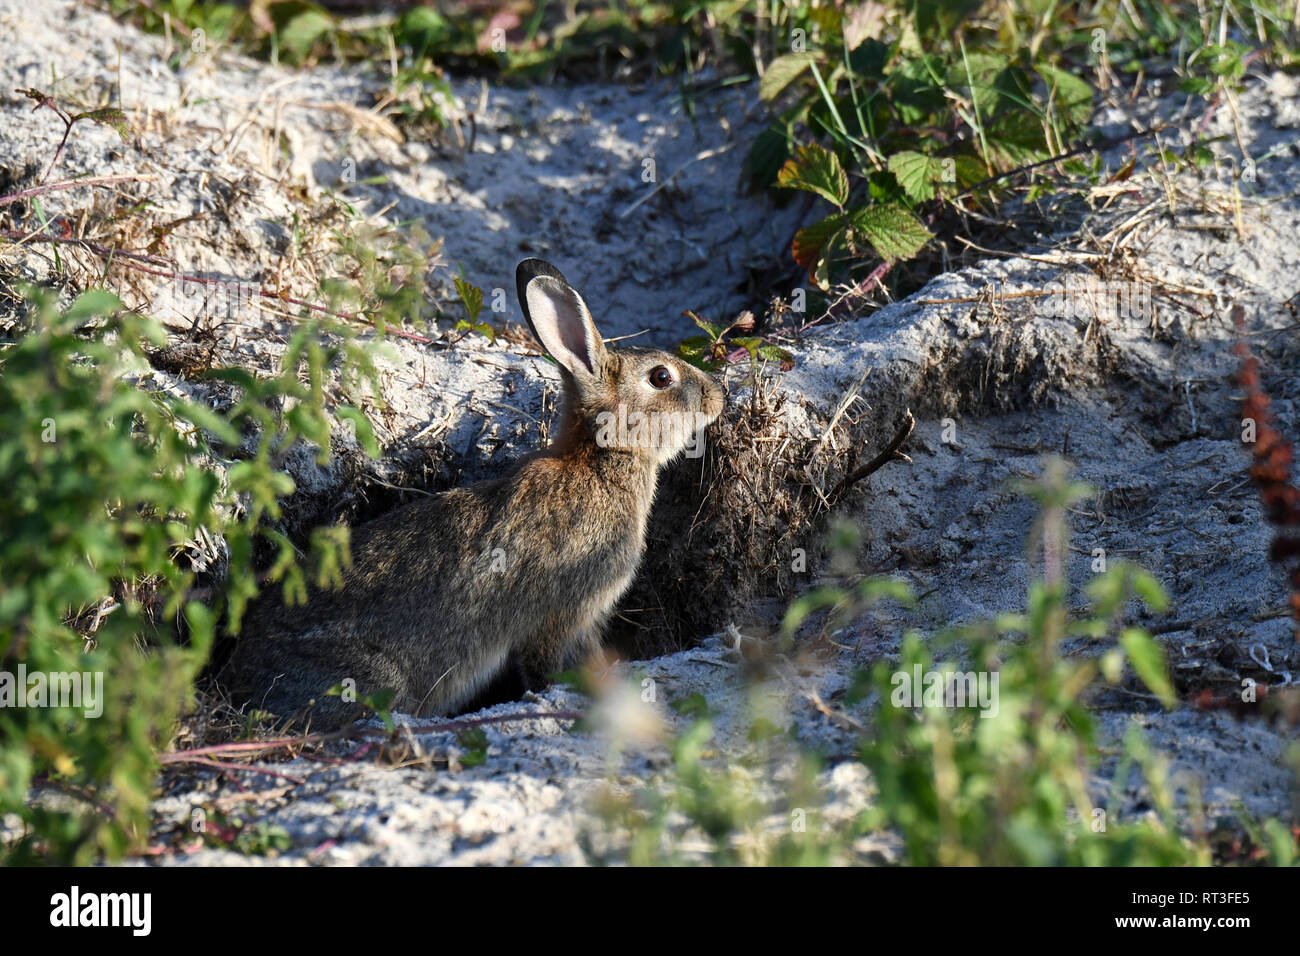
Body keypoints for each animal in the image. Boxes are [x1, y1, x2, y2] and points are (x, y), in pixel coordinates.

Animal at [221, 258, 726, 729]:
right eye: (661, 377)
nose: (717, 394)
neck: (599, 460)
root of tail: (239, 679)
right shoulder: (561, 614)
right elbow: (548, 668)